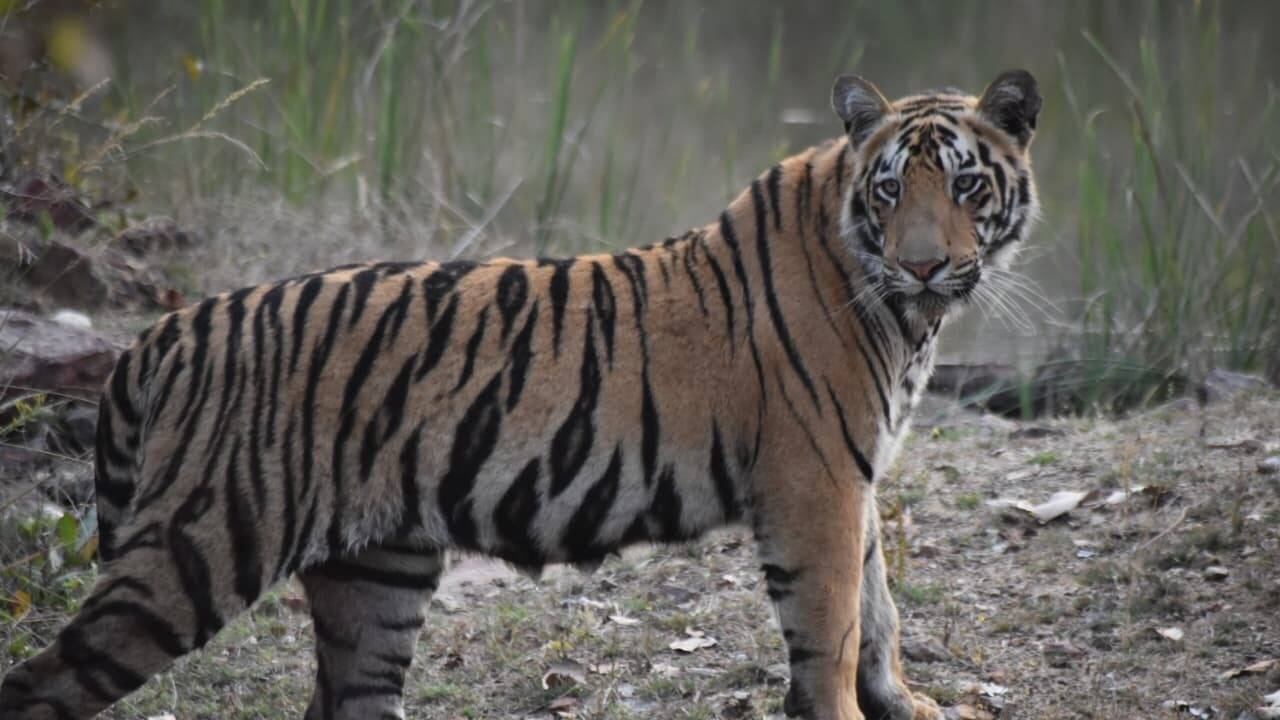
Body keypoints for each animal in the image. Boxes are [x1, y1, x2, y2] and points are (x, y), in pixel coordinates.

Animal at [0, 69, 1041, 720]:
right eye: (890, 190)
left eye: (965, 186)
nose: (925, 265)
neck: (904, 315)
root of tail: (170, 330)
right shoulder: (814, 479)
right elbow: (832, 623)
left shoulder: (851, 475)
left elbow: (878, 608)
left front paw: (907, 702)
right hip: (195, 552)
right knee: (42, 683)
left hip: (375, 574)